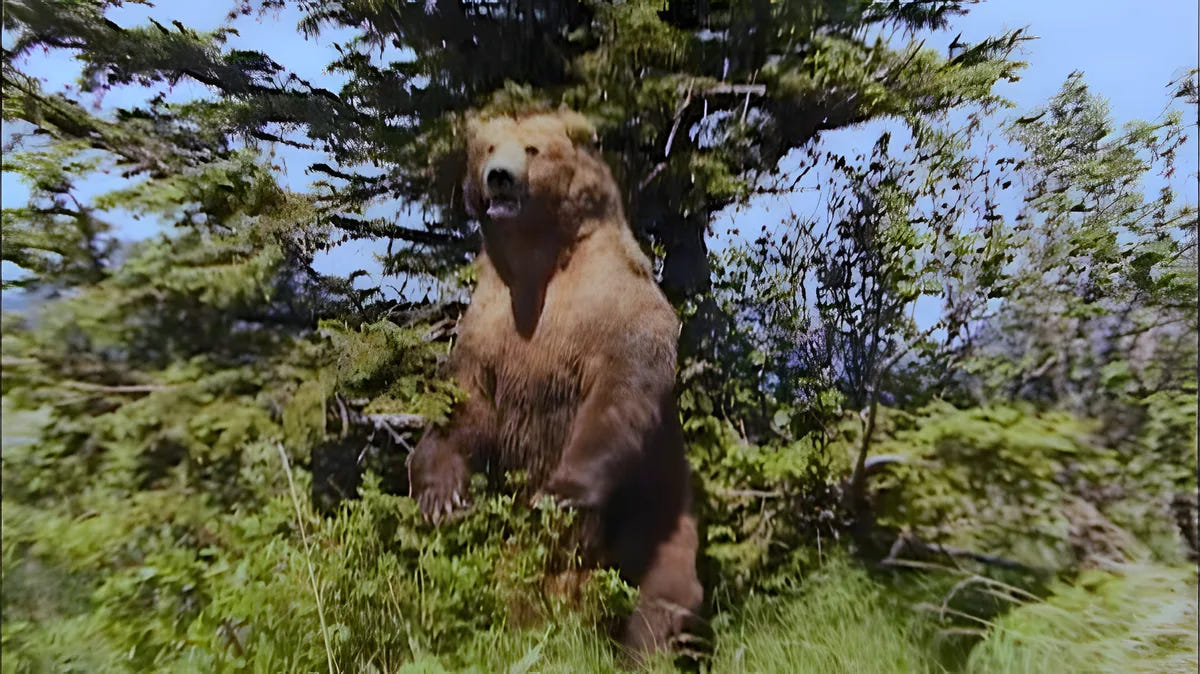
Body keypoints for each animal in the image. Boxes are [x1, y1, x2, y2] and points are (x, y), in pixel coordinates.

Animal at [406, 107, 703, 659]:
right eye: (488, 147)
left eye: (532, 149)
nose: (499, 177)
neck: (537, 262)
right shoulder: (489, 328)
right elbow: (466, 404)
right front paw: (442, 495)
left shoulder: (612, 307)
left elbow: (621, 390)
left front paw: (562, 491)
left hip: (658, 512)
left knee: (663, 595)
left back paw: (640, 649)